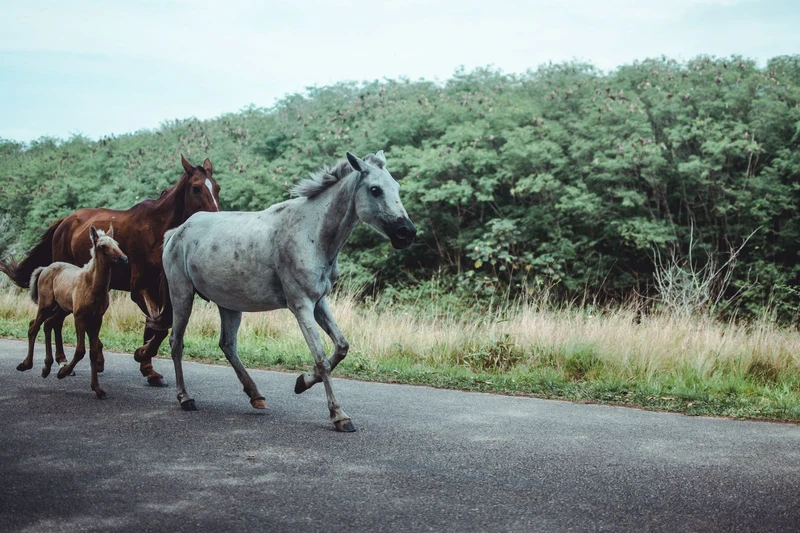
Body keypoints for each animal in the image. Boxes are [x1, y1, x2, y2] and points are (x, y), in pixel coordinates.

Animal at [18, 225, 128, 399]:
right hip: (46, 305)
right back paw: (26, 364)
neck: (93, 287)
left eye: (116, 243)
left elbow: (93, 351)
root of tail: (44, 268)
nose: (124, 259)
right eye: (102, 246)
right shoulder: (79, 316)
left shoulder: (97, 318)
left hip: (60, 308)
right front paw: (63, 372)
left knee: (47, 324)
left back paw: (46, 367)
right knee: (33, 327)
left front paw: (97, 389)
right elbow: (81, 350)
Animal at [162, 150, 416, 431]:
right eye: (375, 190)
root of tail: (176, 232)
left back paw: (256, 395)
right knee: (176, 342)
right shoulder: (301, 305)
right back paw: (185, 398)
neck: (311, 233)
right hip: (182, 295)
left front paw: (302, 382)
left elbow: (341, 347)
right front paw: (339, 415)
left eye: (397, 187)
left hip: (228, 304)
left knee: (227, 345)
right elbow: (321, 358)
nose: (407, 233)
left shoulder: (319, 303)